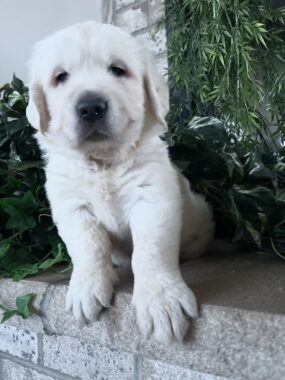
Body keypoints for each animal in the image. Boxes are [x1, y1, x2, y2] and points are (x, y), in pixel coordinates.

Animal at [27, 21, 213, 344]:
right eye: (60, 77)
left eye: (117, 69)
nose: (90, 107)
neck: (103, 163)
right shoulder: (71, 205)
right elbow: (88, 245)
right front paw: (87, 288)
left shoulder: (153, 198)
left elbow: (151, 250)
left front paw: (162, 302)